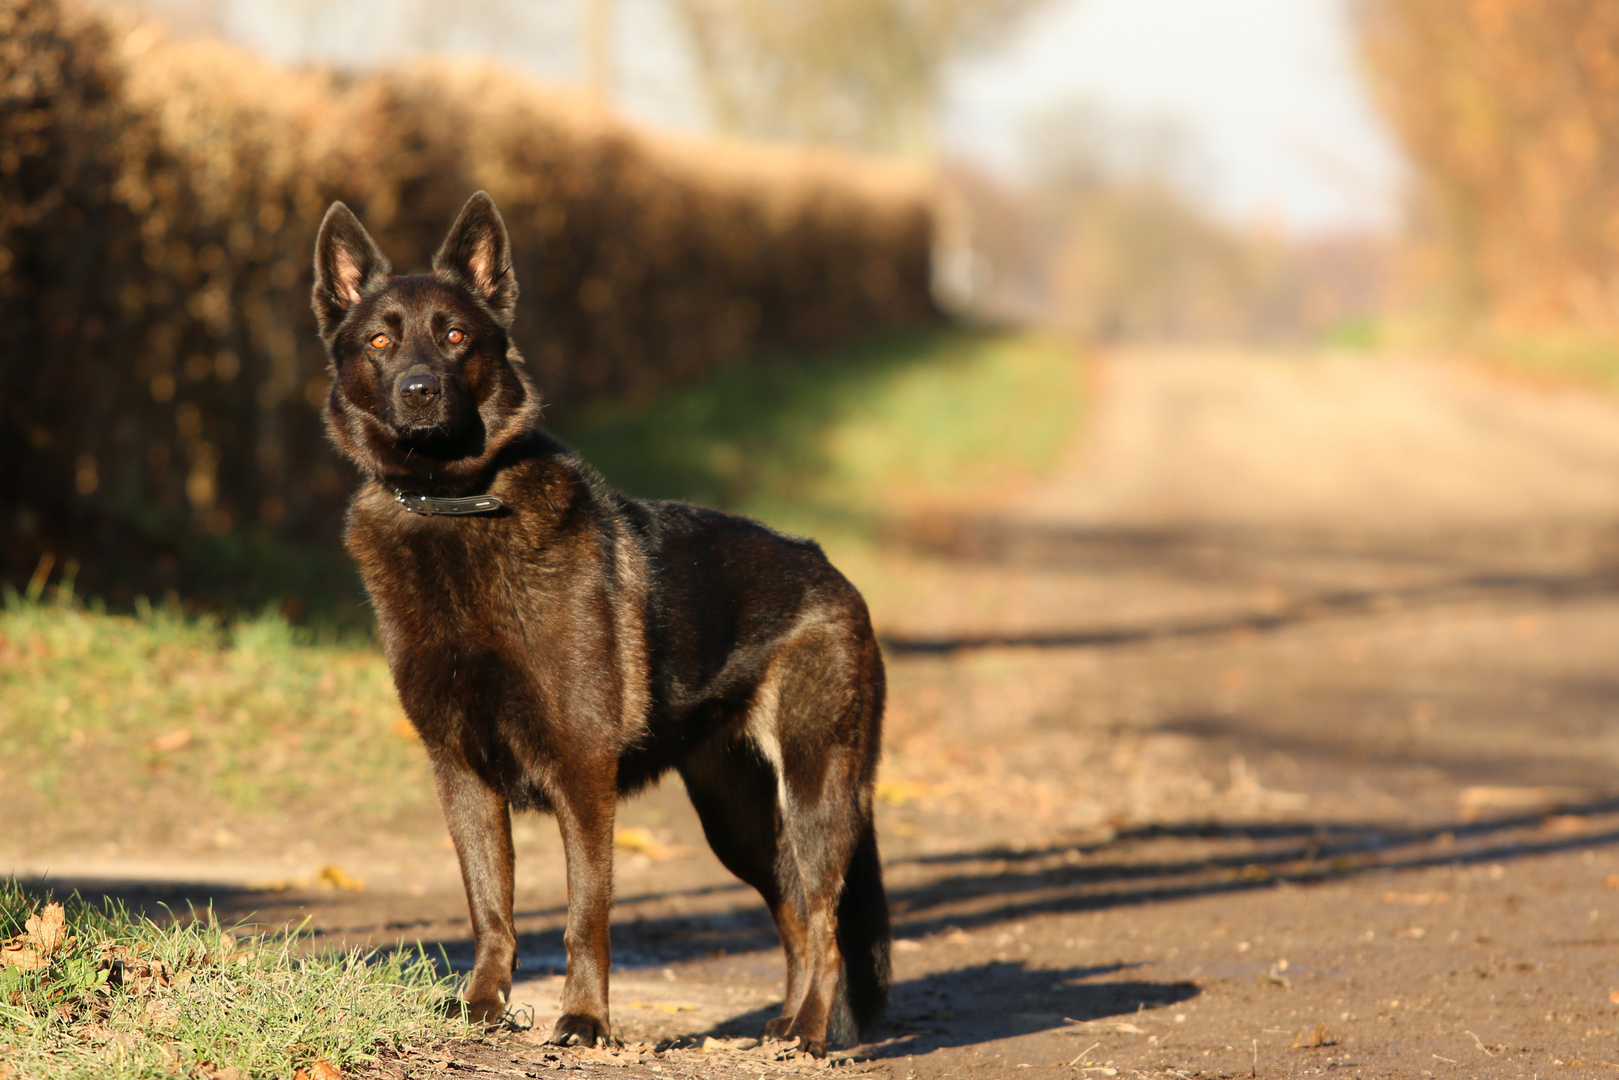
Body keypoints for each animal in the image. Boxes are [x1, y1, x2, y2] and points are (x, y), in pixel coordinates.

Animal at [309, 190, 893, 1049]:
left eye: (454, 336)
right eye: (380, 340)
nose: (418, 391)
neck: (454, 506)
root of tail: (830, 570)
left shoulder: (582, 775)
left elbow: (586, 913)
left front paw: (583, 1019)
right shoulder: (461, 773)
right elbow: (491, 908)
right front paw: (482, 1007)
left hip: (816, 788)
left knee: (821, 920)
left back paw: (810, 1035)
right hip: (738, 819)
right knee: (791, 912)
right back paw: (783, 1026)